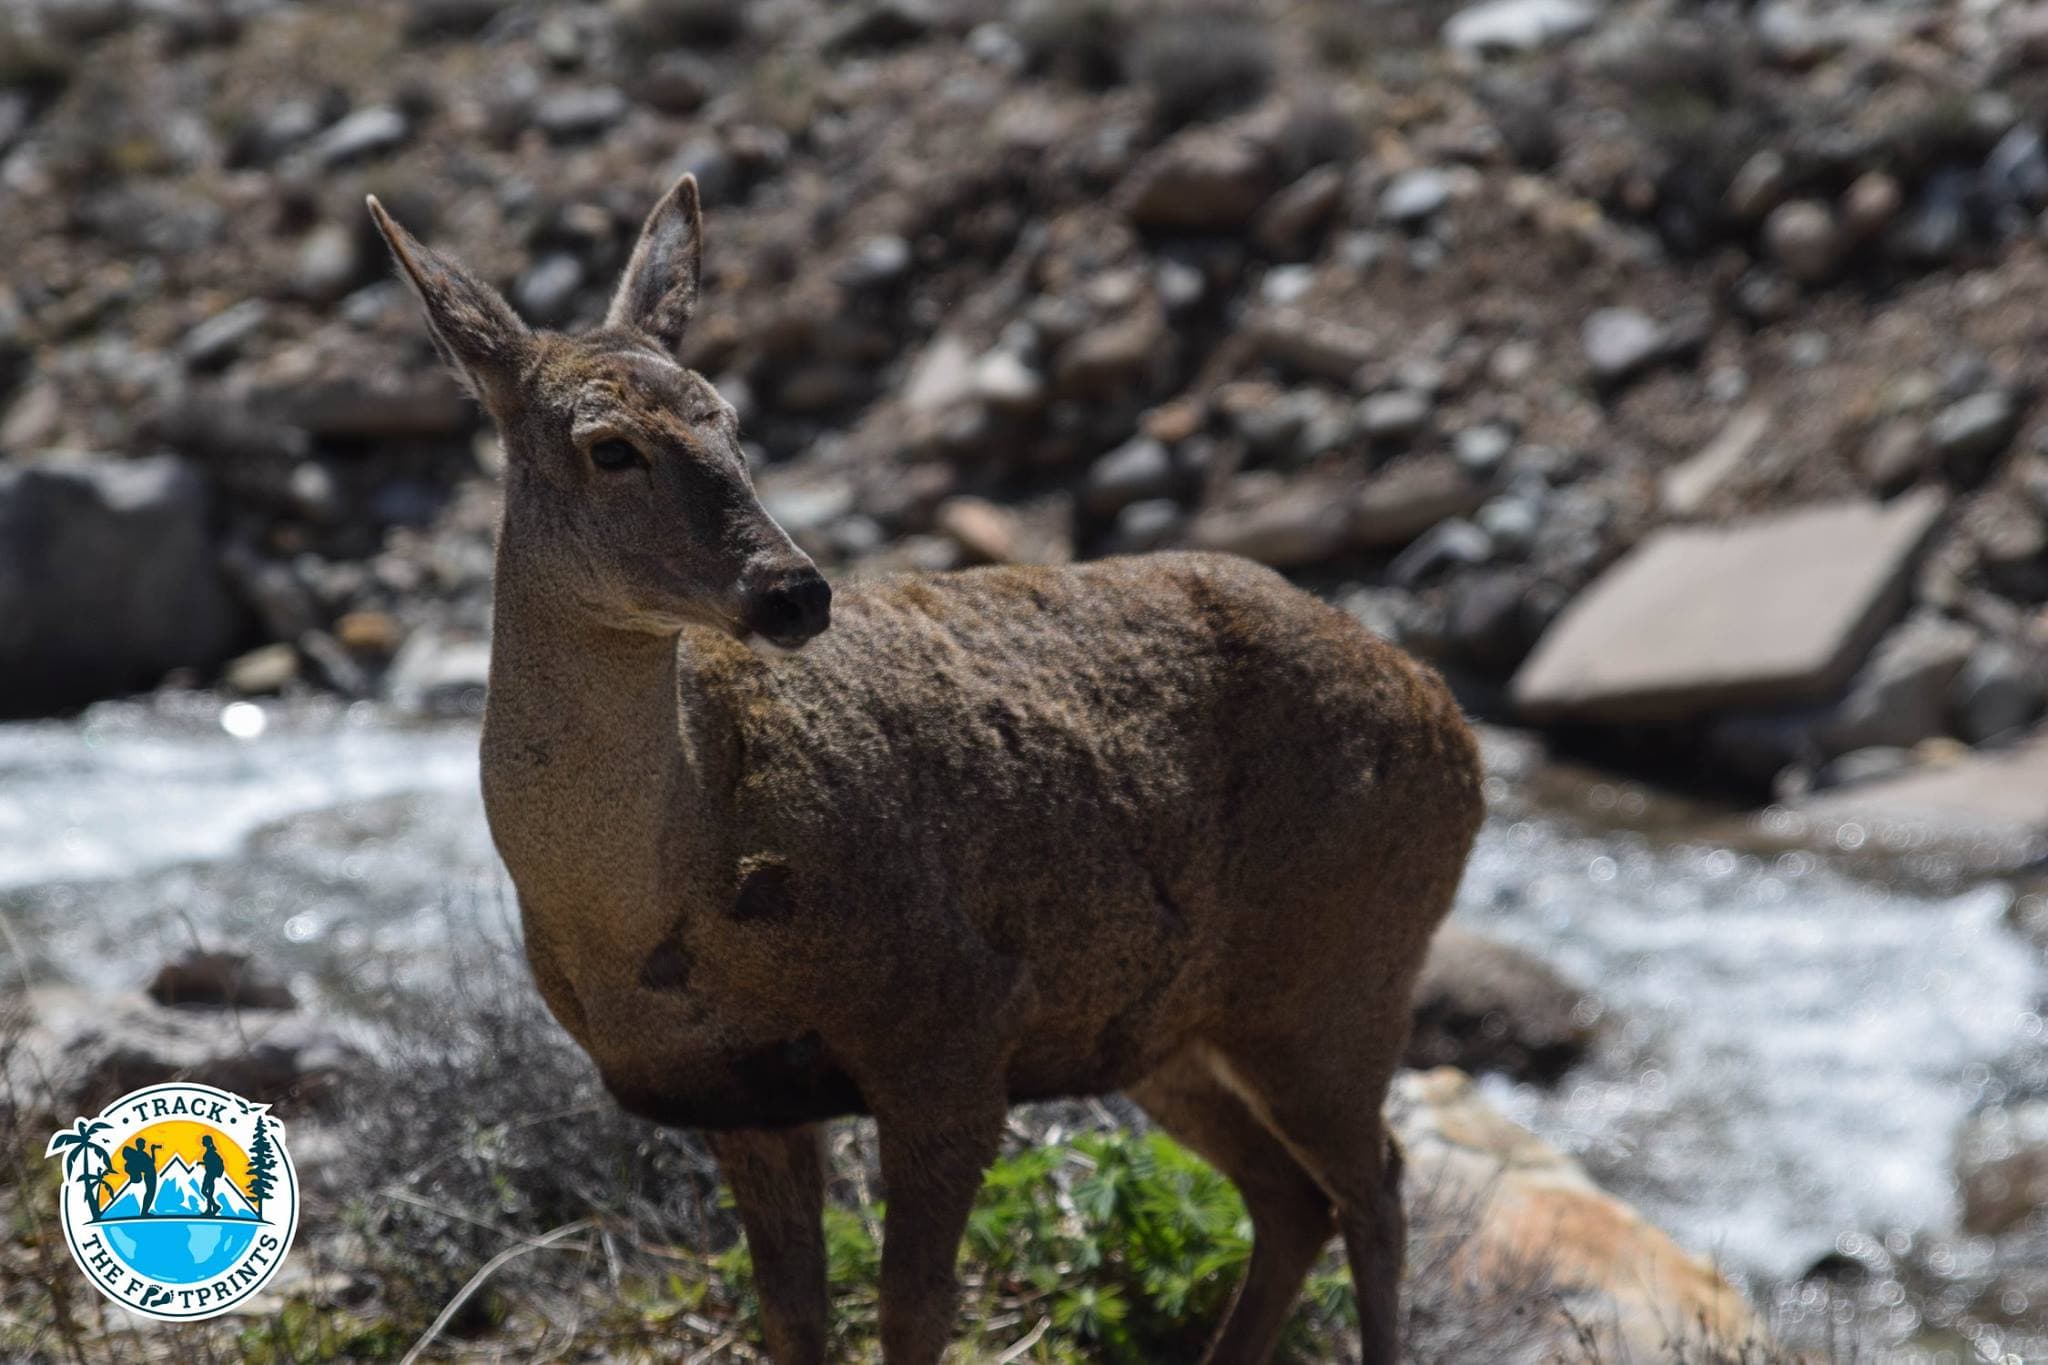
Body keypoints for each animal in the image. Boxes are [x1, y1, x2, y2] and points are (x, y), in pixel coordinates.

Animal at [367, 175, 1484, 1365]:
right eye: (609, 445)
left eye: (733, 422)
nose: (794, 591)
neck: (659, 901)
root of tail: (1450, 720)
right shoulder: (735, 1094)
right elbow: (793, 1313)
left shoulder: (953, 1021)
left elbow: (911, 1305)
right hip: (1167, 1029)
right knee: (1293, 1197)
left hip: (1342, 975)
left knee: (1376, 1189)